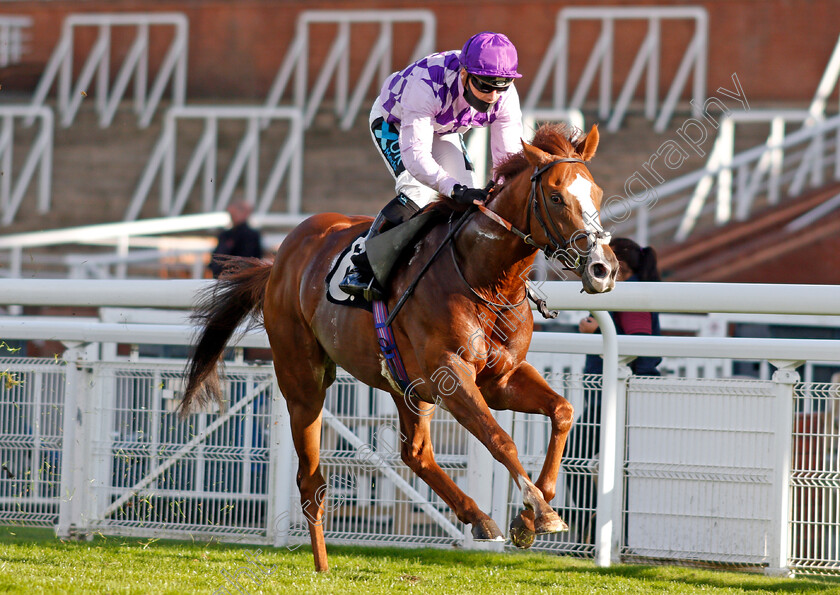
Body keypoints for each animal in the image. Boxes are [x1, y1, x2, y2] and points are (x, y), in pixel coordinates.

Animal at [180, 123, 616, 572]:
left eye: (597, 193)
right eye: (556, 197)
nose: (603, 269)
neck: (486, 277)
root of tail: (279, 258)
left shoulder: (501, 378)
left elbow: (562, 411)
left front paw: (530, 515)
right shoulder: (453, 372)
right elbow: (500, 439)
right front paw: (541, 511)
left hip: (408, 387)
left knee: (417, 454)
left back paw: (477, 517)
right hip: (303, 381)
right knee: (311, 480)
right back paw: (322, 564)